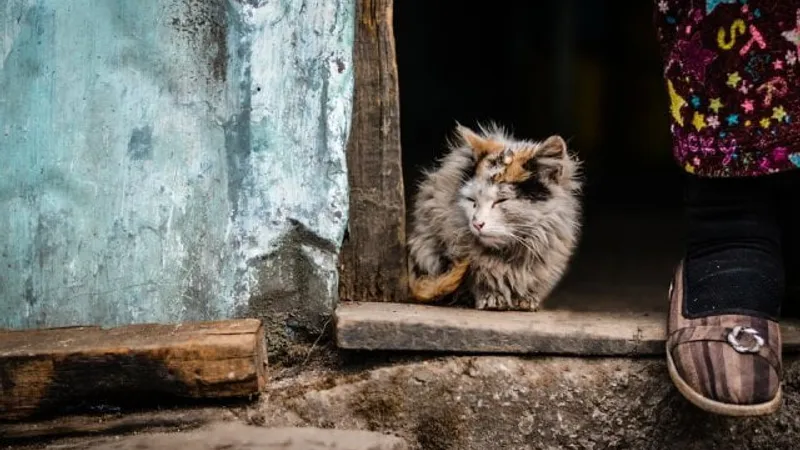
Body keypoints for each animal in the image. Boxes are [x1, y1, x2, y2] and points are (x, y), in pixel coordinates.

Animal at [406, 125, 580, 312]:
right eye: (472, 201)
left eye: (501, 201)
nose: (477, 223)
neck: (508, 253)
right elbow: (476, 279)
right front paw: (492, 297)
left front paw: (526, 299)